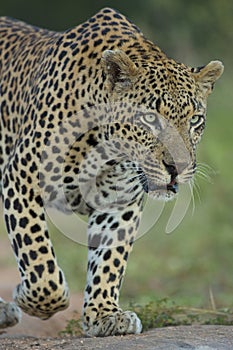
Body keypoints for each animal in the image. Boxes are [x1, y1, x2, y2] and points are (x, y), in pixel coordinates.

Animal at [0, 7, 223, 336]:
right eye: (149, 119)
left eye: (195, 120)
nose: (178, 168)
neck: (107, 149)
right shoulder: (22, 176)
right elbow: (39, 258)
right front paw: (28, 297)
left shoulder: (120, 201)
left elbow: (109, 259)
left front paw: (104, 315)